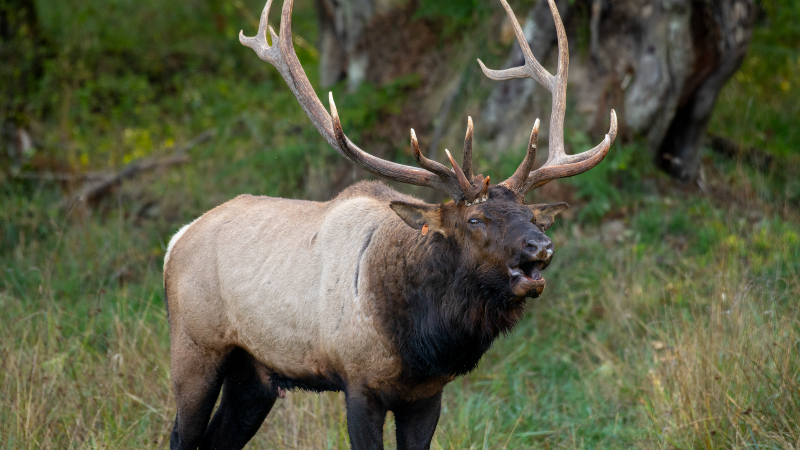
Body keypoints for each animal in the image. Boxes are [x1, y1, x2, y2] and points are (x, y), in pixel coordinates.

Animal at [163, 0, 616, 448]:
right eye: (475, 218)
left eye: (532, 216)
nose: (540, 247)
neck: (421, 343)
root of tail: (176, 240)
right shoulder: (359, 383)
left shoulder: (428, 394)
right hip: (194, 347)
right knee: (182, 435)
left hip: (256, 371)